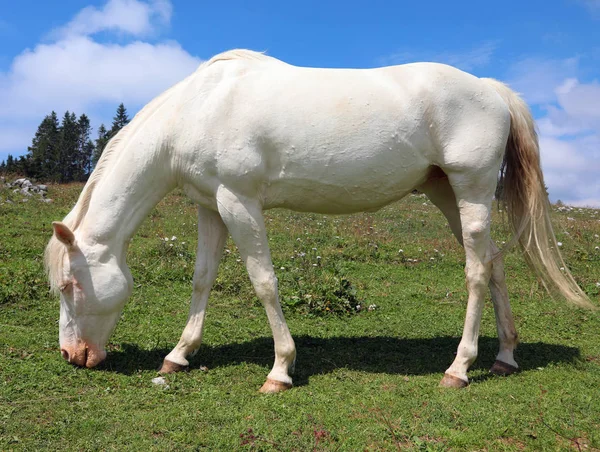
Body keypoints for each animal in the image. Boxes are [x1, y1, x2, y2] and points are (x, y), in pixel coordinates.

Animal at [44, 49, 592, 392]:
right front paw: (178, 356)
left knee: (477, 271)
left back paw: (459, 368)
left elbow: (264, 281)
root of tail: (491, 90)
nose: (73, 356)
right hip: (447, 195)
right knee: (495, 263)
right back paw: (505, 357)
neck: (198, 110)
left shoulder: (240, 202)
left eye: (70, 285)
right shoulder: (210, 207)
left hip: (472, 192)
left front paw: (280, 370)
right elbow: (202, 279)